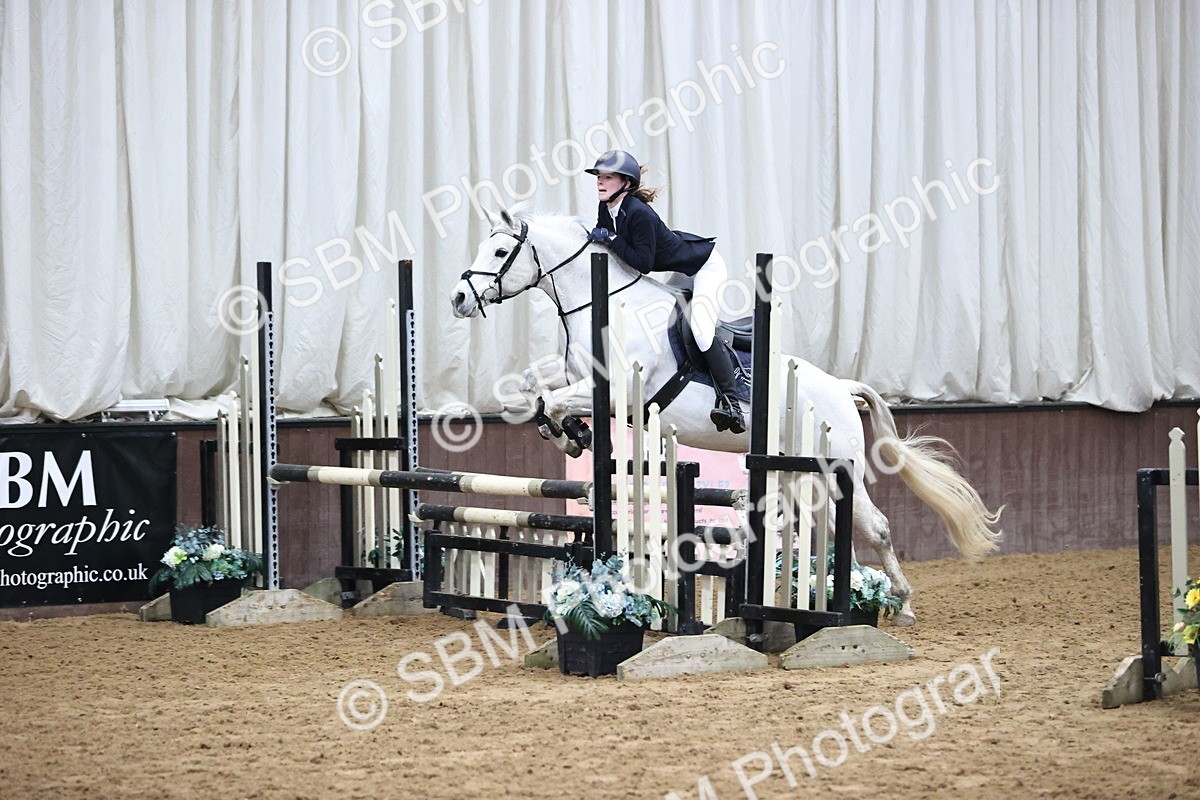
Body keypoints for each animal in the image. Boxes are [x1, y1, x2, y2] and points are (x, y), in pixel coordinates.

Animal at [450, 208, 1003, 626]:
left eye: (499, 252)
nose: (458, 299)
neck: (603, 303)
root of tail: (842, 388)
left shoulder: (617, 392)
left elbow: (557, 400)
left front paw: (569, 432)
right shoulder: (578, 376)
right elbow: (532, 385)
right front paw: (566, 433)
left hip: (834, 466)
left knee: (877, 525)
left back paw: (900, 605)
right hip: (803, 472)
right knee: (820, 521)